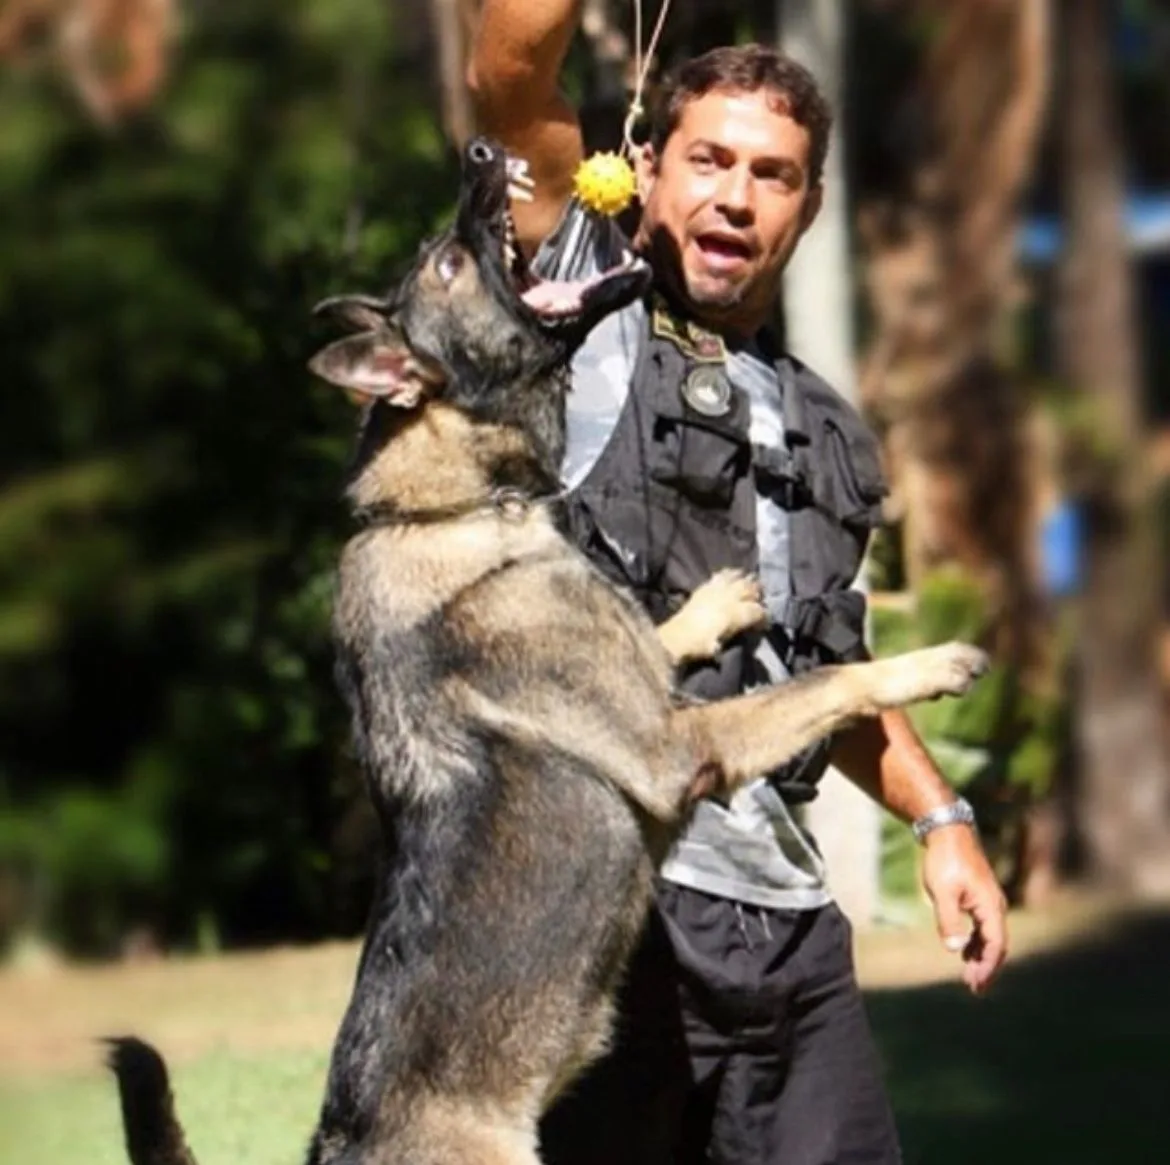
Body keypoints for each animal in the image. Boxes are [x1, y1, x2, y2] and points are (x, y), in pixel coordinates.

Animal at [107, 138, 987, 1165]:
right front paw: (933, 663)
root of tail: (338, 1143)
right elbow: (832, 678)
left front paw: (714, 606)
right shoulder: (678, 747)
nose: (483, 151)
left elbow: (659, 634)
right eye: (449, 264)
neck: (451, 503)